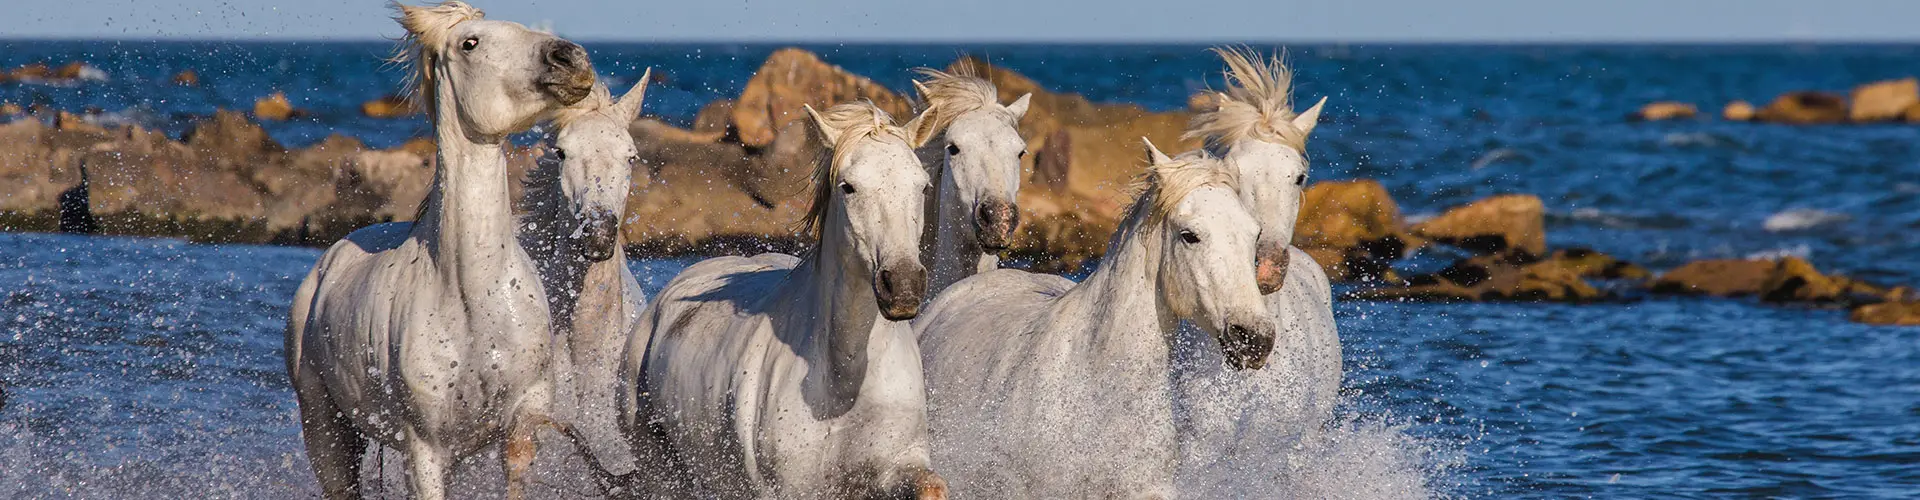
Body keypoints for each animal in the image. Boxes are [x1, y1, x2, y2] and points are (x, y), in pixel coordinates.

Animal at [282, 2, 595, 499]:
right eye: (470, 43)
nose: (571, 59)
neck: (472, 298)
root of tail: (323, 269)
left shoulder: (521, 423)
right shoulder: (423, 447)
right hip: (324, 427)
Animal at [617, 101, 949, 499]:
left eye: (922, 185)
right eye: (848, 187)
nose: (902, 285)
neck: (844, 382)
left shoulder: (899, 463)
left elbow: (930, 485)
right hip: (656, 464)